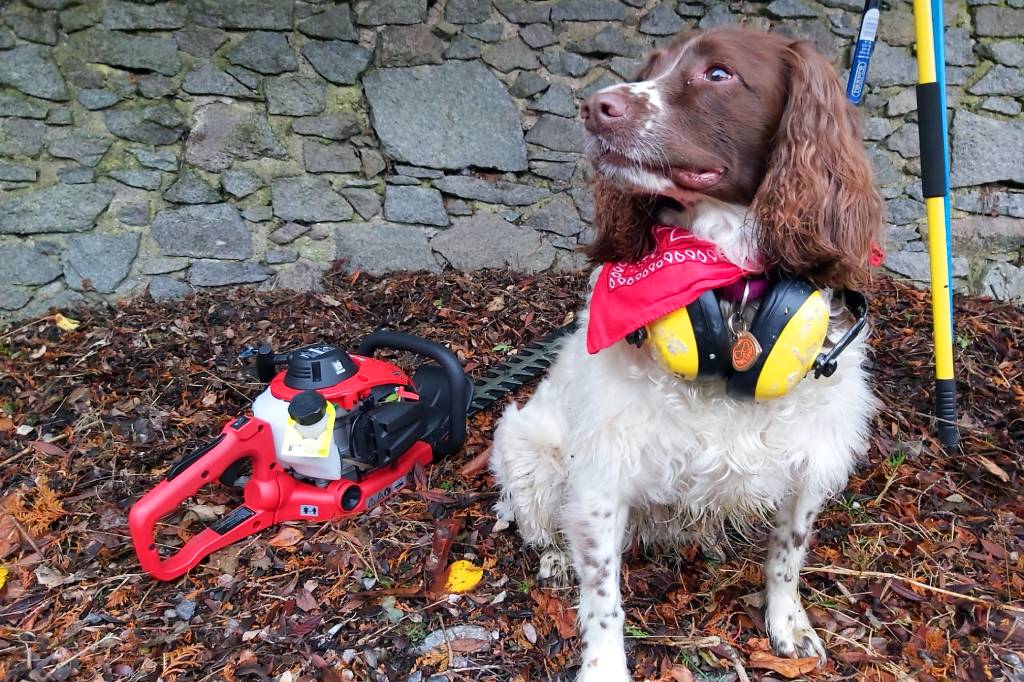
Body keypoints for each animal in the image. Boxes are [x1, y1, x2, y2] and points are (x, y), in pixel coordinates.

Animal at [491, 26, 884, 679]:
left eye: (718, 74)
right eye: (648, 68)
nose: (594, 107)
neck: (729, 296)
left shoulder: (813, 455)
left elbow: (788, 554)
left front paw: (789, 626)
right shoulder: (600, 474)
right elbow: (602, 594)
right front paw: (604, 667)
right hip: (524, 449)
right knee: (537, 527)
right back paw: (554, 559)